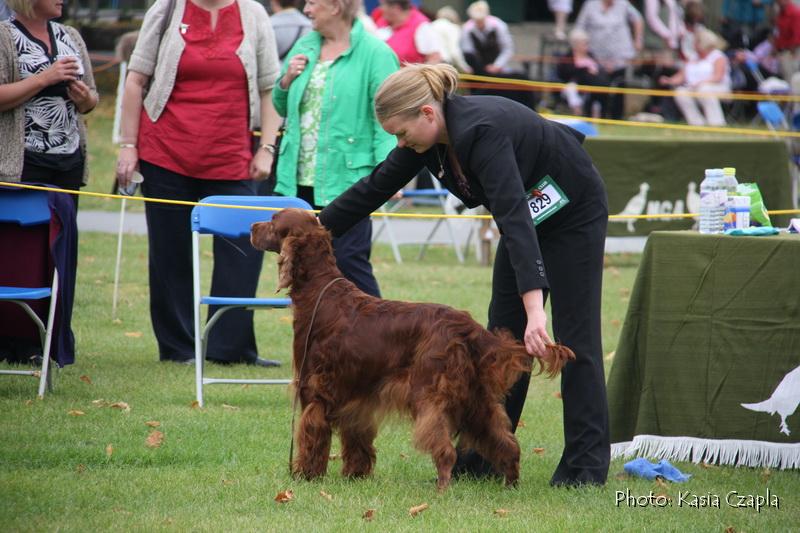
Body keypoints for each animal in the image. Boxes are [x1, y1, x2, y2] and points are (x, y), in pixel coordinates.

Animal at [253, 206, 572, 488]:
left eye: (273, 220)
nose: (252, 227)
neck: (319, 289)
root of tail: (467, 326)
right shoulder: (358, 395)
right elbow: (356, 440)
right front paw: (356, 475)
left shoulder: (313, 391)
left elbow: (311, 438)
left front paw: (305, 475)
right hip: (475, 399)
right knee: (507, 444)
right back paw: (510, 485)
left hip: (429, 394)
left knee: (446, 449)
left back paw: (442, 488)